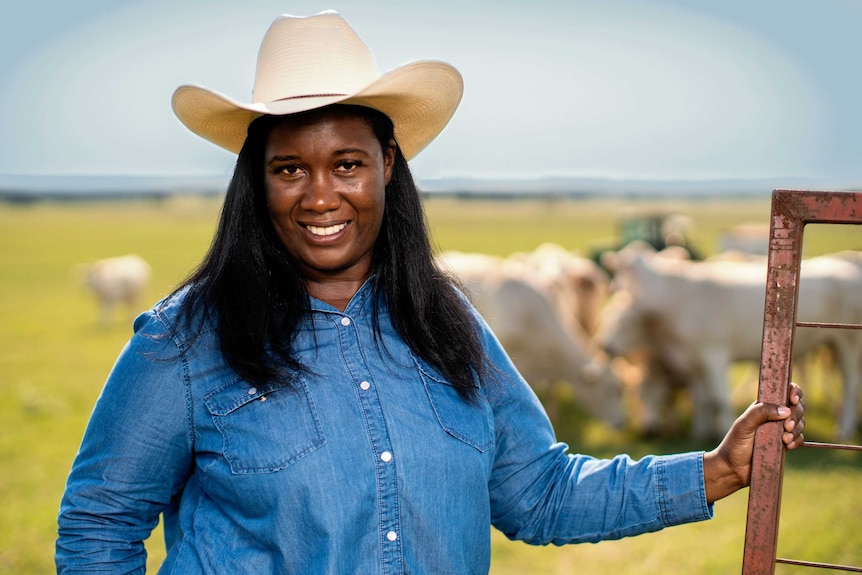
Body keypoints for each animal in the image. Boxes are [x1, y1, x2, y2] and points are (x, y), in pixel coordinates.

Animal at [596, 248, 862, 440]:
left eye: (627, 321)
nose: (605, 347)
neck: (677, 295)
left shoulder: (714, 353)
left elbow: (719, 398)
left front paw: (723, 430)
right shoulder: (693, 359)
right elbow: (701, 398)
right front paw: (700, 433)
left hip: (849, 340)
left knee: (850, 383)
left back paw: (845, 428)